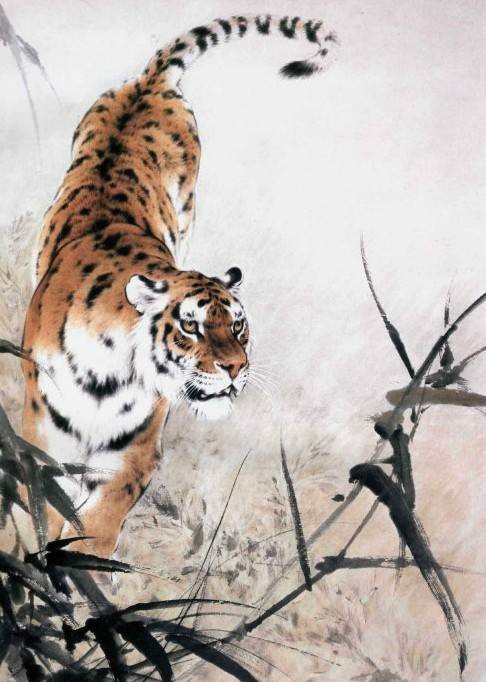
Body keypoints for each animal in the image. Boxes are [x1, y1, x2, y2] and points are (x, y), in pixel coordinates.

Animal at [21, 14, 337, 558]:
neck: (107, 377)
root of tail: (150, 81)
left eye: (239, 327)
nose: (237, 369)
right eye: (191, 326)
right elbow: (28, 518)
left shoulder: (130, 458)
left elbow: (92, 535)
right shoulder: (40, 443)